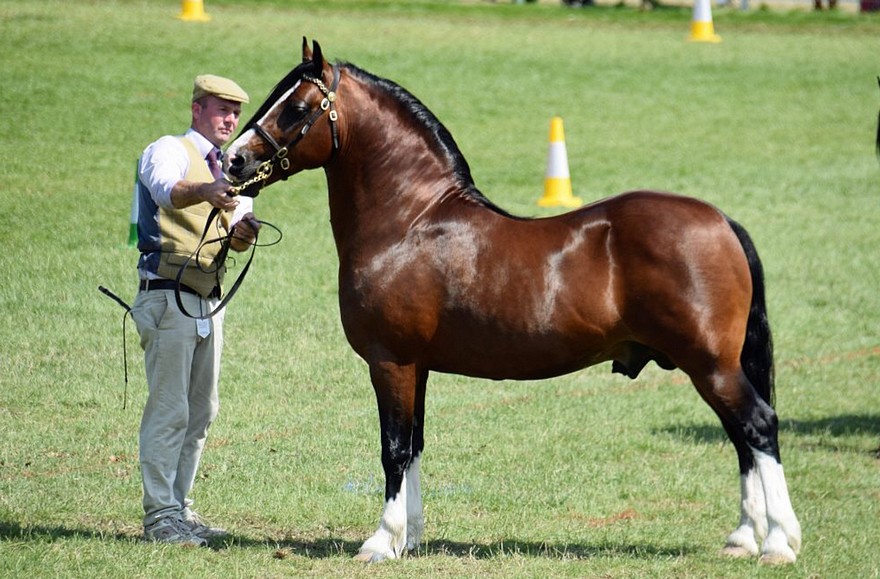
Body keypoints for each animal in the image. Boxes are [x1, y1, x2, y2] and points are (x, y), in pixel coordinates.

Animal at [223, 38, 800, 564]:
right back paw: (743, 538)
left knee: (758, 426)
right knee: (740, 438)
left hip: (710, 364)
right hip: (711, 366)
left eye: (296, 108)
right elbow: (415, 446)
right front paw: (411, 538)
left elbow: (393, 449)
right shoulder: (419, 367)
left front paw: (381, 542)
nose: (232, 160)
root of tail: (721, 221)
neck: (409, 222)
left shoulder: (392, 362)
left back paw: (777, 543)